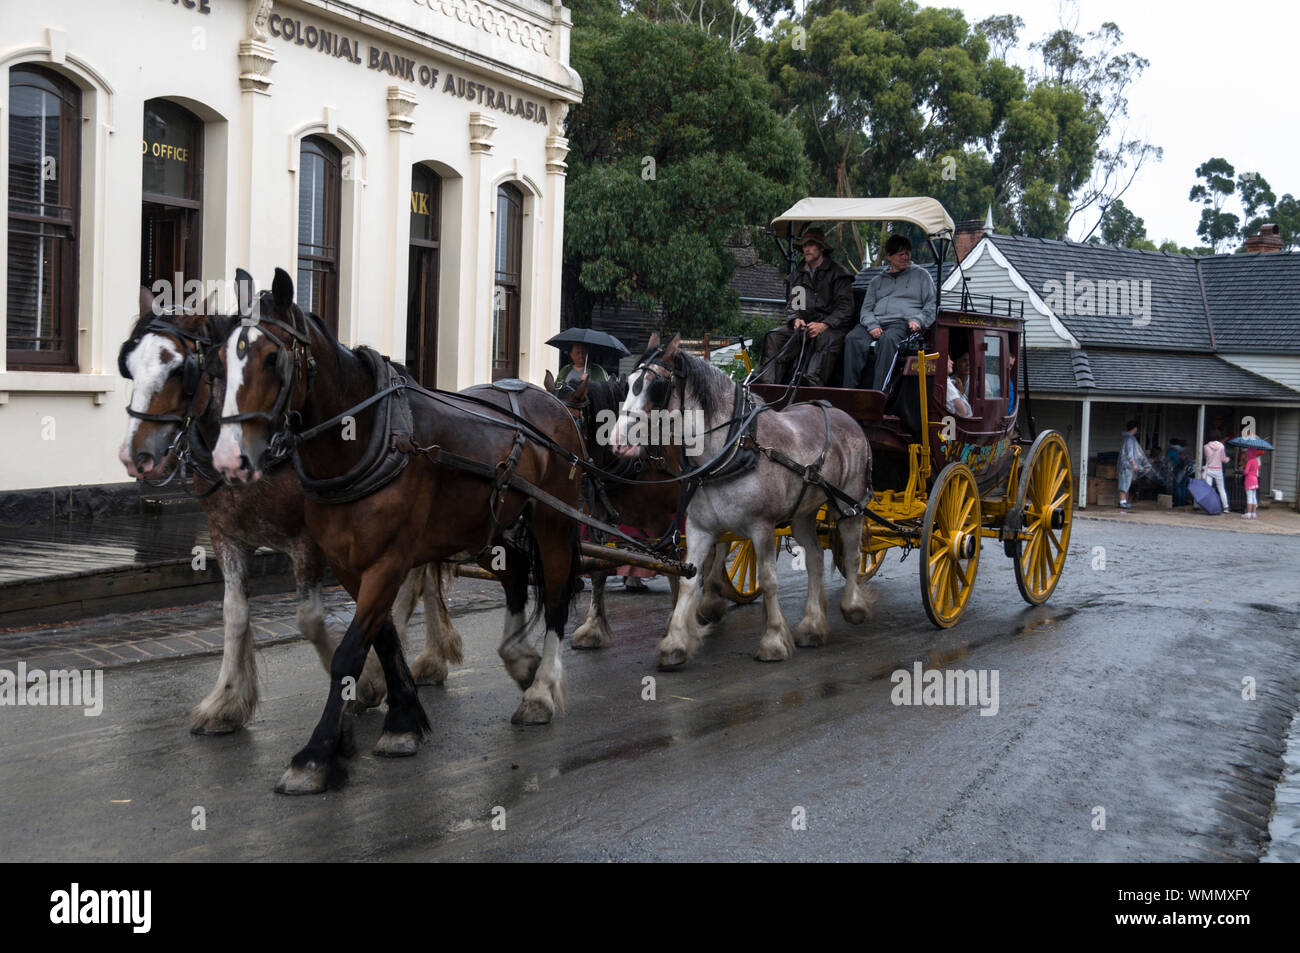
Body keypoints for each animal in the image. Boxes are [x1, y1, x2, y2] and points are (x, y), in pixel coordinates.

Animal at [118, 278, 462, 733]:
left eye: (180, 370)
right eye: (128, 364)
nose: (134, 455)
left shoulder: (309, 542)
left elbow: (311, 620)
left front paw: (361, 688)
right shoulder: (227, 536)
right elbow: (234, 614)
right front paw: (227, 701)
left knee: (413, 582)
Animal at [211, 269, 579, 795]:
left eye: (271, 357)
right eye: (220, 359)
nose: (228, 458)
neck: (366, 437)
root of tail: (553, 400)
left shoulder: (387, 560)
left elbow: (348, 653)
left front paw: (315, 755)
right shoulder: (348, 563)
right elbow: (382, 638)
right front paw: (402, 719)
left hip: (555, 520)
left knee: (555, 598)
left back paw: (542, 690)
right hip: (491, 525)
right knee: (515, 575)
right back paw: (519, 658)